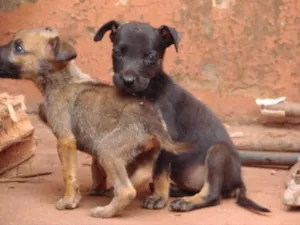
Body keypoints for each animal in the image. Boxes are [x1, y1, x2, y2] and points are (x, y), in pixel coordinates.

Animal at [0, 27, 190, 217]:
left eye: (18, 47)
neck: (61, 80)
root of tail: (151, 119)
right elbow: (95, 168)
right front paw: (95, 189)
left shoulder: (65, 140)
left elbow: (68, 174)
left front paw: (69, 201)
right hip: (146, 152)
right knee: (143, 174)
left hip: (108, 150)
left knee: (126, 191)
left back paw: (105, 211)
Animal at [94, 20, 270, 214]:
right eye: (117, 52)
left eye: (151, 57)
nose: (127, 81)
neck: (145, 92)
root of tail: (238, 182)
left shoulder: (166, 139)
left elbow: (159, 172)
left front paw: (158, 197)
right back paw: (176, 191)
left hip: (218, 152)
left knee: (213, 194)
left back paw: (188, 202)